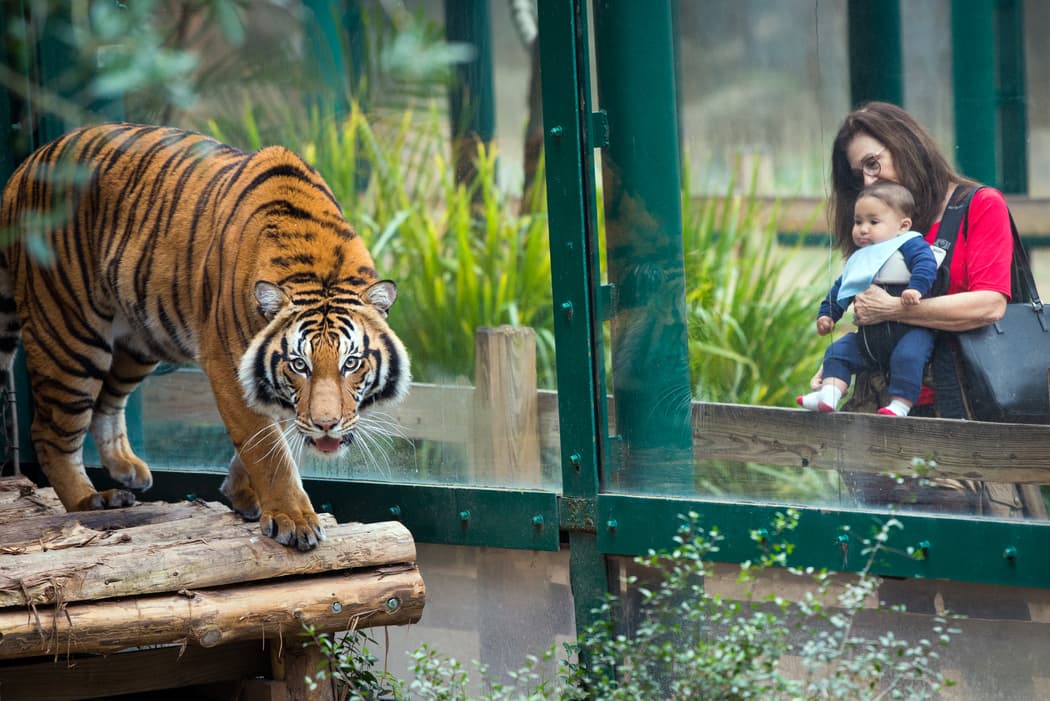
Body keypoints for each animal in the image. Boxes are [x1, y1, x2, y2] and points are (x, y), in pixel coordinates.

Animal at [0, 122, 410, 550]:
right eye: (299, 364)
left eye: (352, 363)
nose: (327, 425)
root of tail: (23, 168)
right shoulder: (229, 366)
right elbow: (269, 450)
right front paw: (293, 519)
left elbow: (271, 434)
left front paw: (242, 495)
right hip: (69, 336)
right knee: (49, 431)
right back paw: (89, 500)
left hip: (140, 340)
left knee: (106, 402)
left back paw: (126, 469)